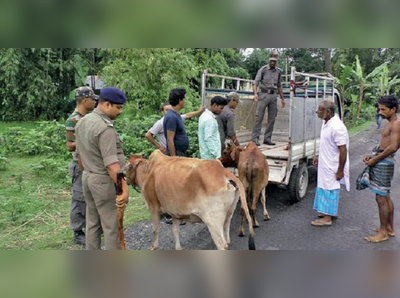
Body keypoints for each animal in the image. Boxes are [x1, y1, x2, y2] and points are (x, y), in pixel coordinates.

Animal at [125, 150, 256, 250]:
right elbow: (175, 231)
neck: (147, 172)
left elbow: (155, 230)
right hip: (228, 213)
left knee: (222, 245)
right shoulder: (174, 211)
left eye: (127, 166)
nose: (125, 180)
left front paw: (153, 247)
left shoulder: (153, 208)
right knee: (227, 236)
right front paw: (178, 248)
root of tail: (222, 171)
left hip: (212, 221)